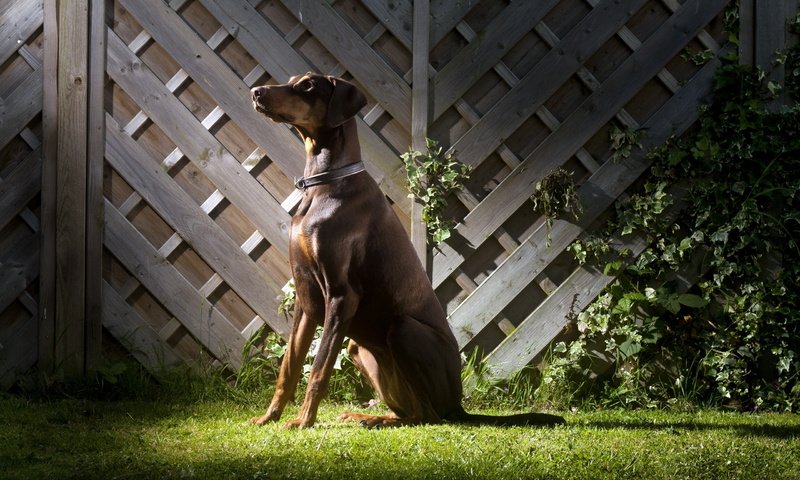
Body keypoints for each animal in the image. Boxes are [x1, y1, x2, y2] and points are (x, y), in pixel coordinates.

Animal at [247, 73, 564, 430]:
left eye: (307, 86)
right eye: (291, 81)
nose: (256, 92)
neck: (323, 184)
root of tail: (459, 404)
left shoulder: (342, 296)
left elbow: (318, 368)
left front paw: (303, 421)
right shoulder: (306, 297)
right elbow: (288, 367)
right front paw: (269, 417)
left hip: (404, 330)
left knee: (428, 416)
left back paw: (377, 420)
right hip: (359, 348)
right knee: (410, 411)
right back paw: (367, 415)